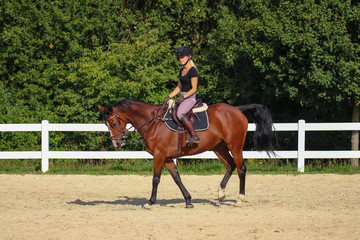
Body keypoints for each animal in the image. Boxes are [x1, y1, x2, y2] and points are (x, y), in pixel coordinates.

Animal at [97, 98, 274, 209]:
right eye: (106, 124)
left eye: (113, 123)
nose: (117, 143)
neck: (154, 123)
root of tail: (236, 109)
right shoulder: (167, 158)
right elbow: (177, 178)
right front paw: (188, 201)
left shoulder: (159, 156)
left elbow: (155, 179)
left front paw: (150, 202)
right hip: (219, 147)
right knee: (230, 166)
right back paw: (221, 194)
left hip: (235, 146)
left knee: (241, 169)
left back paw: (239, 199)